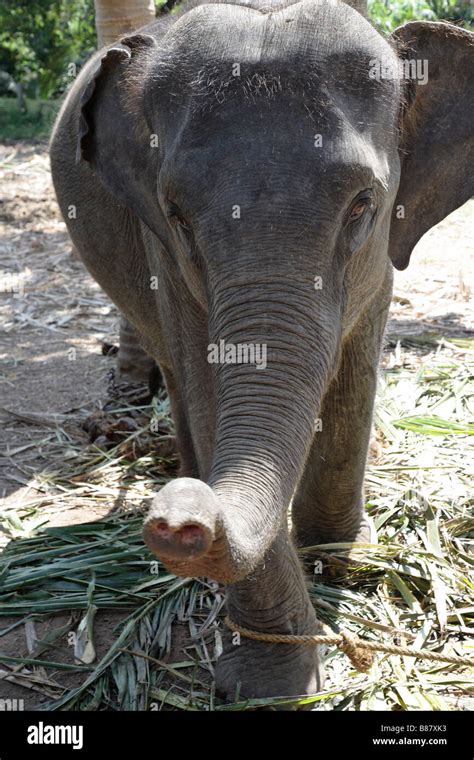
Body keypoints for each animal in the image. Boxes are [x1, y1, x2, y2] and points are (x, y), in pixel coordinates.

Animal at [50, 0, 472, 700]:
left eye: (364, 204)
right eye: (177, 213)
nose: (176, 520)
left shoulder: (382, 259)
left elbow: (356, 371)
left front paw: (340, 557)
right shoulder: (163, 253)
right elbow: (208, 387)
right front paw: (274, 687)